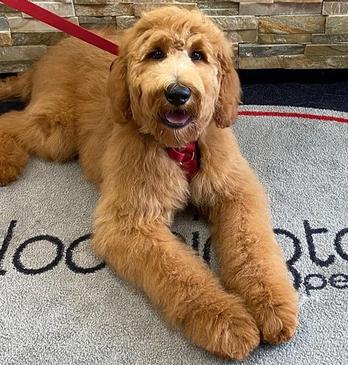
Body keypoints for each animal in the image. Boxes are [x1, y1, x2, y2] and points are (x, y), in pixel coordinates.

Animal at [0, 5, 298, 358]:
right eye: (156, 53)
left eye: (198, 55)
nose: (178, 92)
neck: (180, 146)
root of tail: (49, 54)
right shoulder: (130, 222)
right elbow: (180, 273)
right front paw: (225, 320)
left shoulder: (234, 191)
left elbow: (252, 246)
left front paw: (271, 304)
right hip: (56, 130)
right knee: (11, 120)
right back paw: (6, 161)